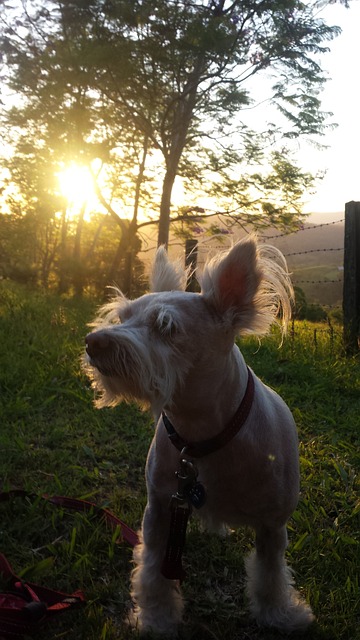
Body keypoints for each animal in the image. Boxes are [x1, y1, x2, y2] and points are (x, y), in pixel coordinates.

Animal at [83, 236, 314, 636]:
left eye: (166, 327)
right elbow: (153, 572)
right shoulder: (160, 512)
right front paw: (156, 619)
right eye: (123, 317)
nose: (93, 342)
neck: (204, 434)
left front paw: (279, 616)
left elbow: (270, 576)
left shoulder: (273, 526)